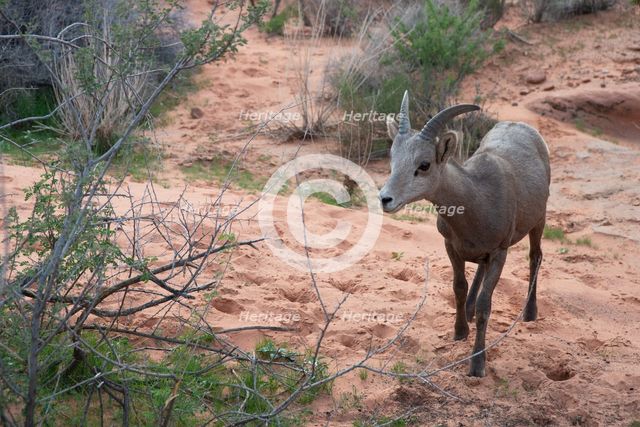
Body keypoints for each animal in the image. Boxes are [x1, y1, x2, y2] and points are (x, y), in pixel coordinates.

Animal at [379, 91, 550, 377]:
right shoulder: (451, 246)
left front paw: (477, 365)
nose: (385, 199)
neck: (478, 198)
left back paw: (530, 313)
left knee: (535, 256)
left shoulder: (499, 253)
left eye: (424, 165)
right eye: (393, 160)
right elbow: (459, 287)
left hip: (539, 220)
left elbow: (485, 305)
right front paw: (460, 332)